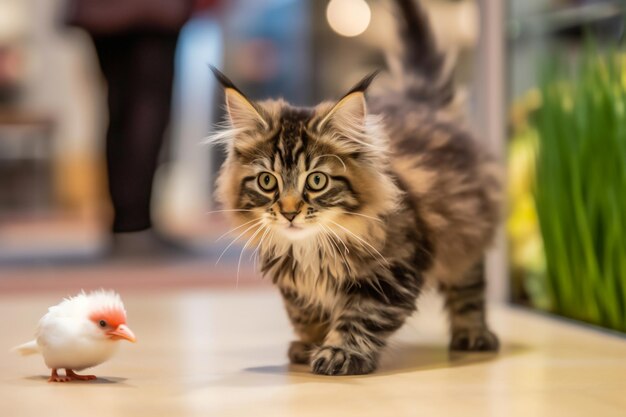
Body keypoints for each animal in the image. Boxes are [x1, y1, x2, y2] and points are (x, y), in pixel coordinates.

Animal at [208, 0, 498, 376]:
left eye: (317, 180)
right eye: (267, 181)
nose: (289, 212)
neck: (311, 248)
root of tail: (421, 103)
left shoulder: (391, 273)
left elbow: (361, 318)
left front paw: (338, 353)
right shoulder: (293, 282)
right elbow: (305, 312)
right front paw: (309, 344)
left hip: (465, 227)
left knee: (468, 286)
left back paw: (473, 334)